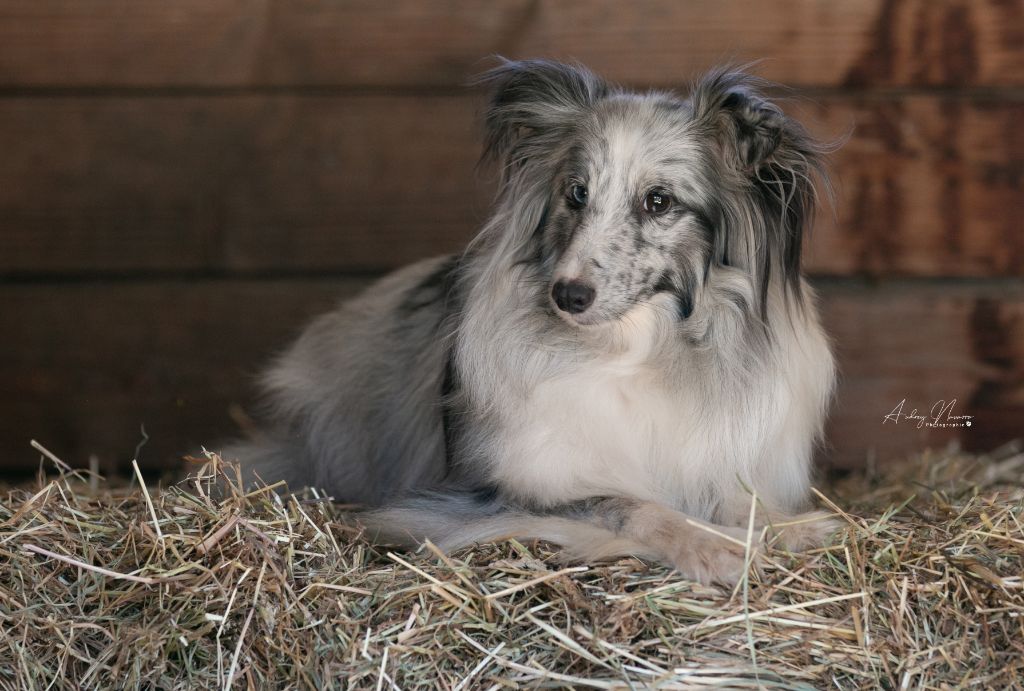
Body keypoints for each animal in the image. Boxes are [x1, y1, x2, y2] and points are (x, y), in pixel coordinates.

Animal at [222, 60, 831, 589]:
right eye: (576, 193)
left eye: (658, 201)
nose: (568, 296)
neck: (629, 350)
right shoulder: (501, 493)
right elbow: (630, 503)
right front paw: (713, 547)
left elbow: (737, 501)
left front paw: (794, 527)